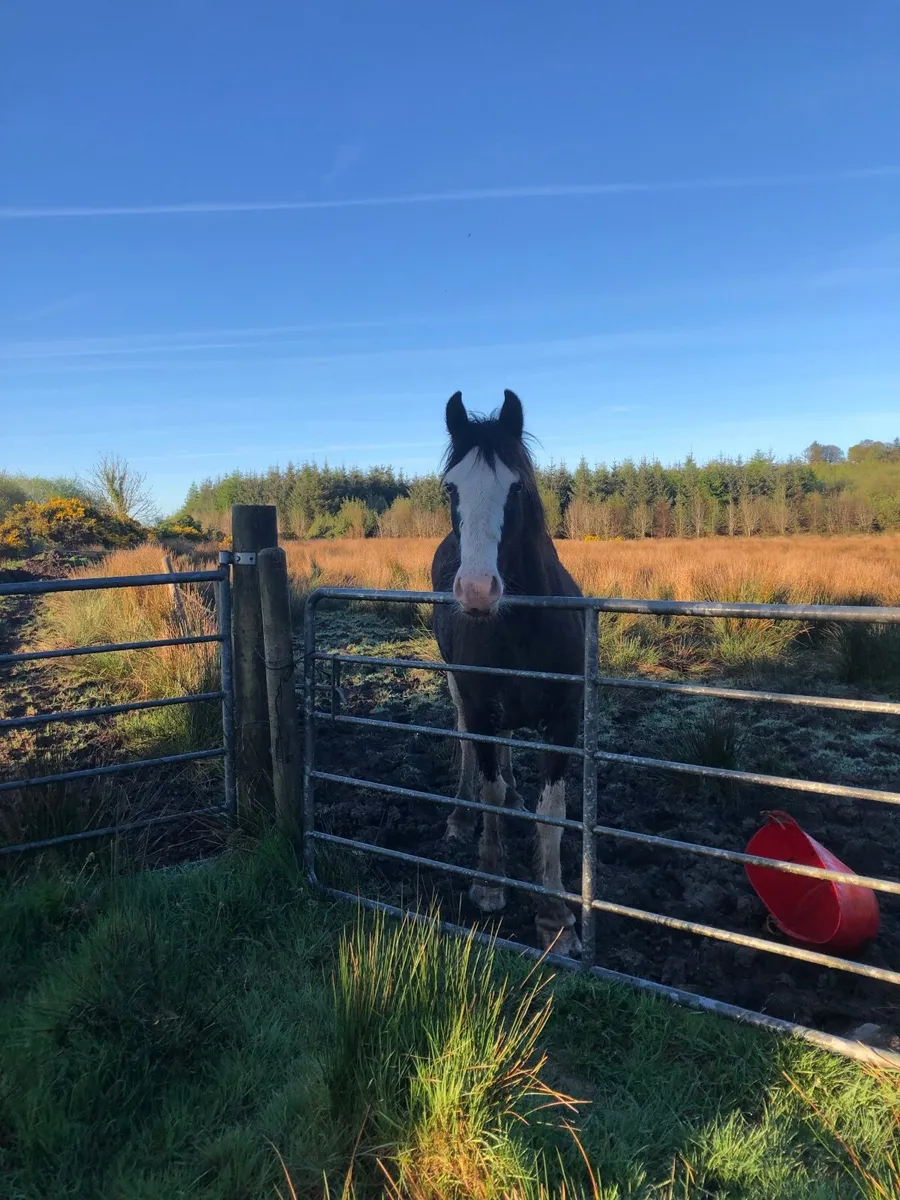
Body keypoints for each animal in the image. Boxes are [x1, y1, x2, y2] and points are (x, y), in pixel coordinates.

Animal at [430, 389, 585, 956]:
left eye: (515, 486)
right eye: (450, 487)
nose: (477, 590)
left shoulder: (565, 717)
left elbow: (552, 812)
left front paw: (555, 917)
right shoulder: (478, 705)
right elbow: (489, 794)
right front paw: (490, 882)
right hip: (459, 691)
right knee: (467, 749)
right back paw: (458, 816)